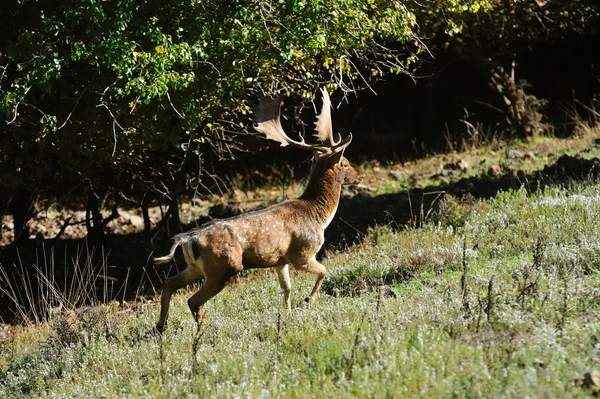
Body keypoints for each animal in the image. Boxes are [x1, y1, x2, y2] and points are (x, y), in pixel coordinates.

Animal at [152, 88, 364, 334]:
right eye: (345, 163)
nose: (360, 176)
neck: (318, 216)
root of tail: (187, 239)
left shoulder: (280, 260)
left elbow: (286, 288)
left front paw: (287, 314)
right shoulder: (302, 253)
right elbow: (323, 271)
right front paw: (308, 301)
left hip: (196, 267)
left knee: (169, 284)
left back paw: (160, 326)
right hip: (224, 267)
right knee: (193, 300)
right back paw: (203, 331)